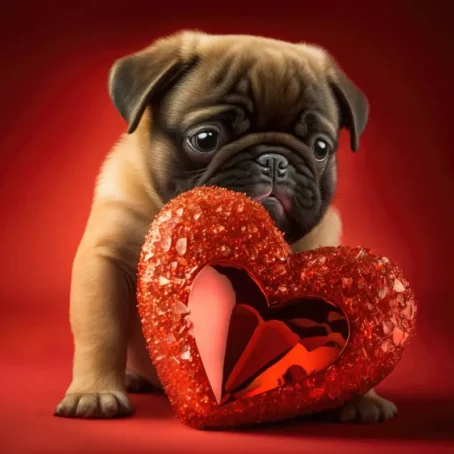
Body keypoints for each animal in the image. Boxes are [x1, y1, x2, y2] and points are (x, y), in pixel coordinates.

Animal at [54, 31, 398, 422]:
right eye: (206, 139)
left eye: (321, 147)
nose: (274, 160)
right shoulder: (105, 264)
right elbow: (101, 333)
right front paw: (94, 391)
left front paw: (362, 397)